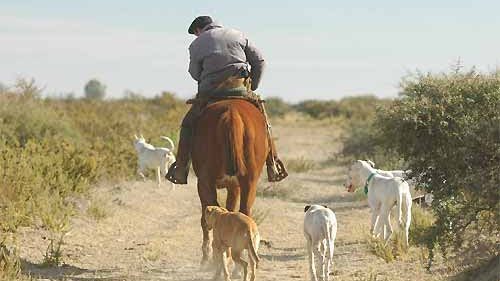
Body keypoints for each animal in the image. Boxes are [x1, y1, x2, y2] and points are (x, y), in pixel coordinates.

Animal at [191, 98, 270, 262]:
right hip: (249, 182)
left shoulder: (210, 184)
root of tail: (231, 113)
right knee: (244, 211)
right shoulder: (234, 186)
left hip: (205, 182)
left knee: (211, 213)